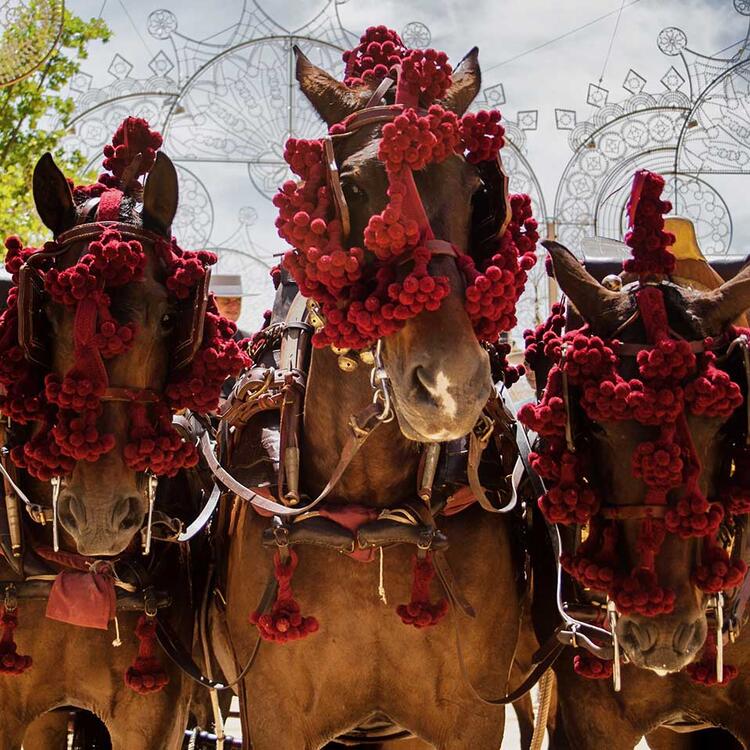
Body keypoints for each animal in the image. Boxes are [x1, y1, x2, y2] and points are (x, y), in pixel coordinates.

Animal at [207, 27, 540, 750]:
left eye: (476, 189)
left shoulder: (474, 715)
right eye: (355, 186)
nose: (450, 386)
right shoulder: (271, 713)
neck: (368, 518)